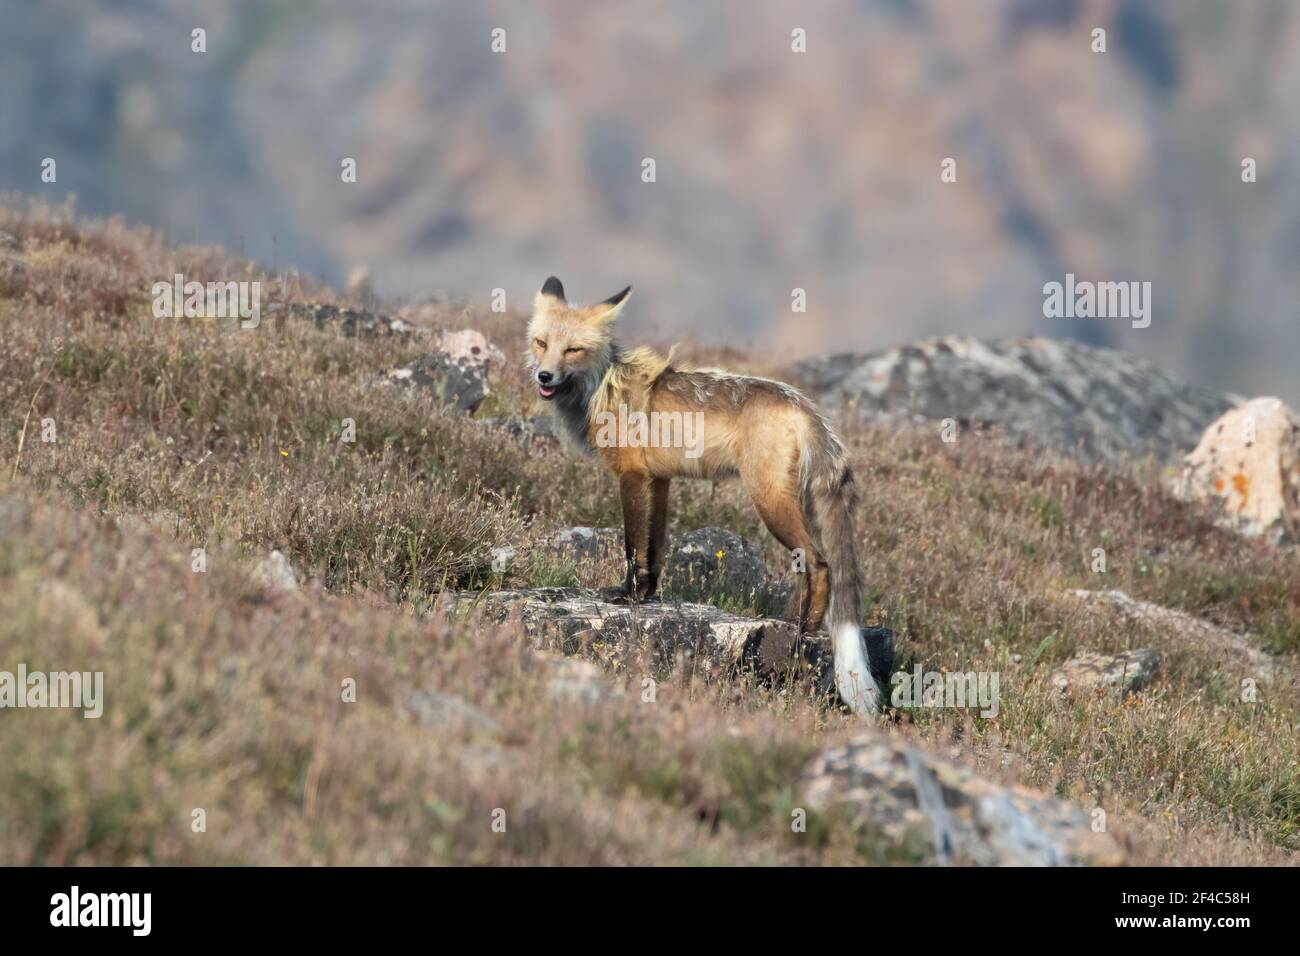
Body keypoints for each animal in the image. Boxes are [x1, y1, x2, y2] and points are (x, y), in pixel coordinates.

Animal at [527, 274, 883, 712]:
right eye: (541, 342)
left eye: (573, 349)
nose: (544, 377)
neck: (601, 388)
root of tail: (805, 405)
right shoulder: (659, 480)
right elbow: (654, 549)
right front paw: (648, 594)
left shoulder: (631, 476)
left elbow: (632, 546)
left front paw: (628, 596)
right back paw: (798, 623)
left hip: (770, 502)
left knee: (819, 564)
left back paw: (804, 627)